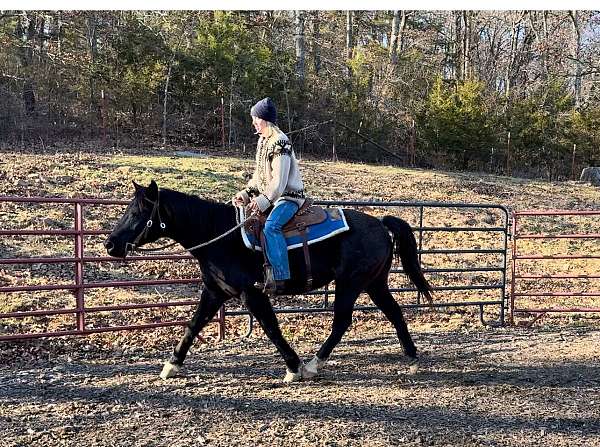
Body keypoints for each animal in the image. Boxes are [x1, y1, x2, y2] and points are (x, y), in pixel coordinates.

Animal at [104, 180, 432, 384]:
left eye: (137, 212)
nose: (110, 244)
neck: (220, 235)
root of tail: (380, 223)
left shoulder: (252, 295)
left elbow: (271, 328)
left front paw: (293, 368)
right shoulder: (214, 292)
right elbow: (193, 325)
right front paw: (171, 365)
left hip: (350, 284)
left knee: (342, 321)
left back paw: (313, 364)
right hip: (374, 283)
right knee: (394, 312)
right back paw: (412, 358)